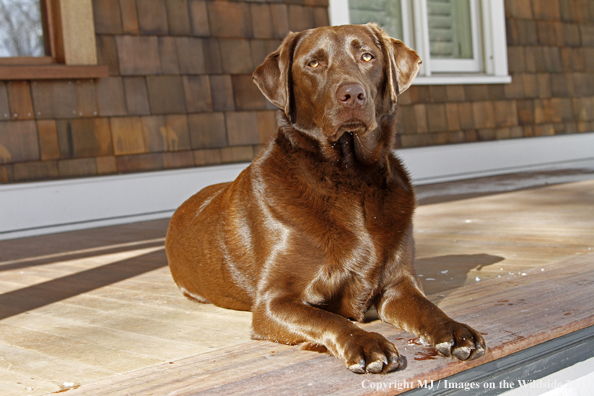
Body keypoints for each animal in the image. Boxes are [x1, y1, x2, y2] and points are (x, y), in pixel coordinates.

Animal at [164, 22, 484, 374]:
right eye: (313, 63)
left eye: (367, 56)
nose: (352, 94)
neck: (350, 178)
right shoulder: (274, 302)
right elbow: (329, 319)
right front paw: (367, 344)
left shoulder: (399, 286)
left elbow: (428, 308)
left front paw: (454, 330)